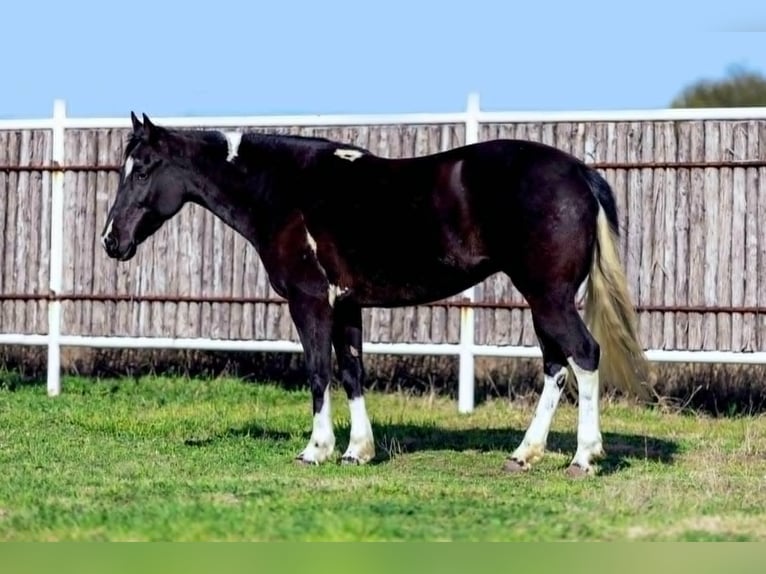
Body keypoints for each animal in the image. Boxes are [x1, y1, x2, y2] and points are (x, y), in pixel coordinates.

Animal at [100, 112, 652, 477]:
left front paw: (316, 449)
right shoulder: (347, 306)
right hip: (543, 302)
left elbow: (318, 372)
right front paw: (357, 451)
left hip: (550, 298)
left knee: (584, 355)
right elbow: (352, 372)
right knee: (556, 367)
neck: (288, 189)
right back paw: (525, 454)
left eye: (143, 169)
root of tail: (579, 172)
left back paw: (584, 458)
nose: (111, 240)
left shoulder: (310, 303)